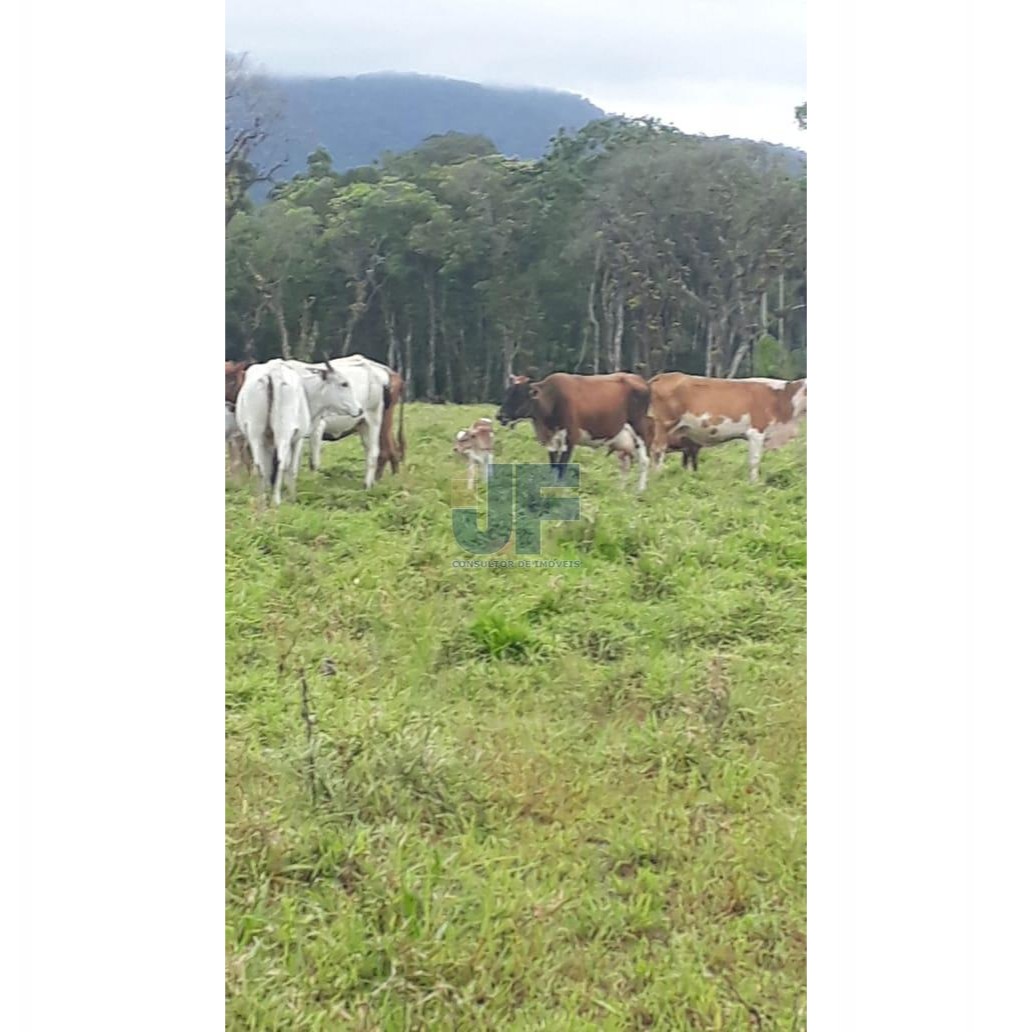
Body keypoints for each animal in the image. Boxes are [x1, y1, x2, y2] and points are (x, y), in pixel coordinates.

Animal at [237, 359, 363, 507]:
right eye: (344, 383)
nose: (360, 409)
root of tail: (274, 371)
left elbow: (268, 467)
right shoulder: (298, 438)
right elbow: (292, 468)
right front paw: (291, 497)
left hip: (255, 433)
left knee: (259, 465)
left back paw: (262, 501)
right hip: (283, 433)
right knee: (280, 462)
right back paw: (276, 501)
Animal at [291, 355, 406, 487]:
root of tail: (388, 371)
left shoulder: (318, 427)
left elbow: (312, 462)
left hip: (379, 421)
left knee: (385, 452)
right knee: (390, 451)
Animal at [495, 373, 648, 493]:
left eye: (520, 395)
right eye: (507, 392)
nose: (499, 416)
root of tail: (639, 378)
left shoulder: (570, 438)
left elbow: (562, 466)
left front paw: (560, 489)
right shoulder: (551, 441)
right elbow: (554, 465)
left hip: (640, 429)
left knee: (644, 461)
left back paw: (639, 491)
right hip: (621, 440)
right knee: (625, 464)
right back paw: (620, 490)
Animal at [643, 373, 804, 480]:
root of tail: (663, 376)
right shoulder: (756, 432)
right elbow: (754, 460)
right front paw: (754, 483)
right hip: (663, 425)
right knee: (657, 451)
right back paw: (658, 476)